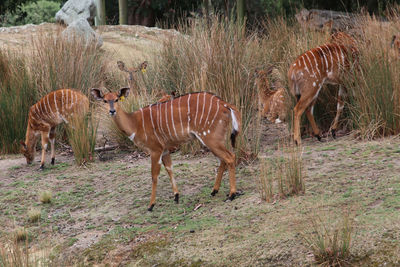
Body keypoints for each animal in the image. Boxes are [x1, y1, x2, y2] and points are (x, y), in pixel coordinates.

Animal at [90, 88, 241, 211]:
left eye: (116, 99)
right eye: (105, 100)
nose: (112, 111)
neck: (135, 123)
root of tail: (225, 105)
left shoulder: (155, 149)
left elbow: (154, 175)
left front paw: (151, 205)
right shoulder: (165, 150)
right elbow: (169, 169)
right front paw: (176, 196)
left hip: (210, 138)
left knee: (230, 157)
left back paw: (231, 195)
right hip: (214, 139)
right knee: (223, 159)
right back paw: (214, 191)